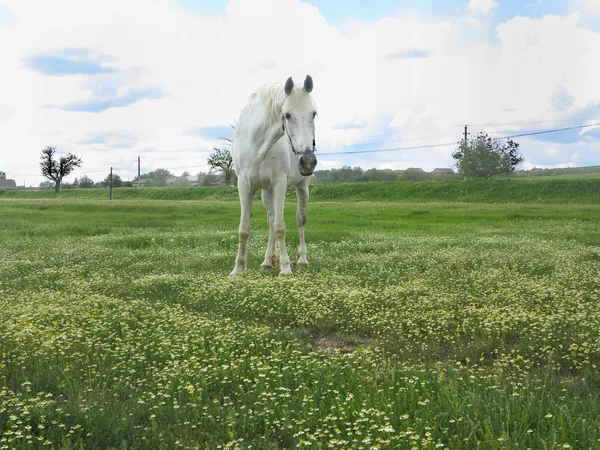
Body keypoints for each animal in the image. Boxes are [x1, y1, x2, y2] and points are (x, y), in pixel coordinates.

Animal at [229, 75, 316, 276]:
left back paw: (302, 258)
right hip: (265, 192)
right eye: (287, 115)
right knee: (270, 221)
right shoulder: (244, 185)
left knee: (300, 218)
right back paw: (268, 261)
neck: (257, 144)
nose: (308, 161)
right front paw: (238, 269)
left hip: (302, 187)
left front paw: (285, 268)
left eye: (314, 114)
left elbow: (280, 227)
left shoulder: (279, 184)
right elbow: (244, 228)